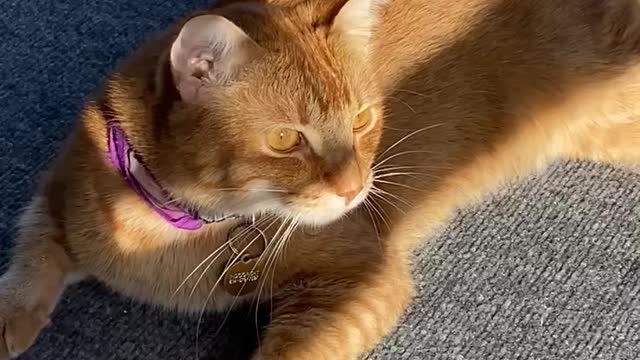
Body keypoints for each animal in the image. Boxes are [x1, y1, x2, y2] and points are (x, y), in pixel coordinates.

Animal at [1, 0, 640, 358]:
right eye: (287, 140)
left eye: (361, 120)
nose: (355, 187)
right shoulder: (54, 200)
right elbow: (29, 264)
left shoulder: (360, 278)